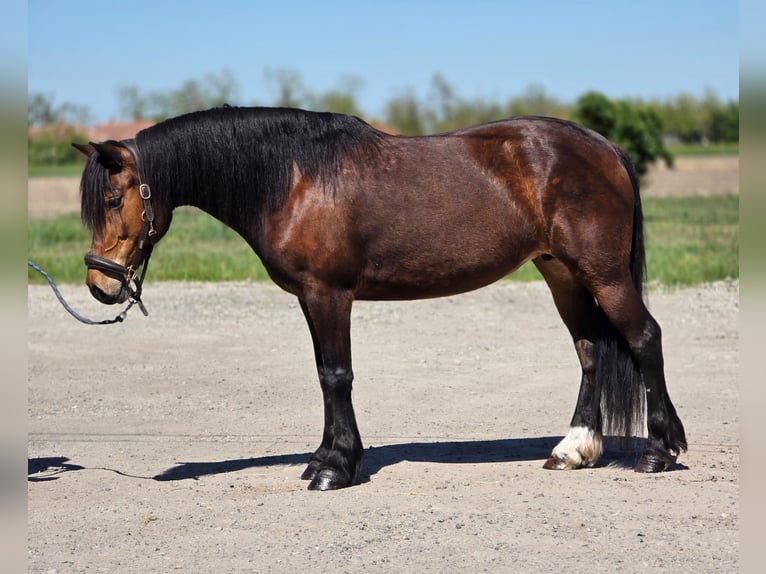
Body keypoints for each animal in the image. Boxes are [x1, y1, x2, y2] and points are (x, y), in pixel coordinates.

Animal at [74, 106, 687, 490]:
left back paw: (658, 452)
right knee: (589, 349)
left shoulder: (329, 295)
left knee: (644, 338)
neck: (293, 179)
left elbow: (336, 375)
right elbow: (323, 373)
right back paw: (573, 450)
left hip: (603, 274)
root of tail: (604, 146)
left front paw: (335, 469)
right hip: (561, 272)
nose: (101, 285)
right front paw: (325, 457)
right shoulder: (311, 299)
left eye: (112, 199)